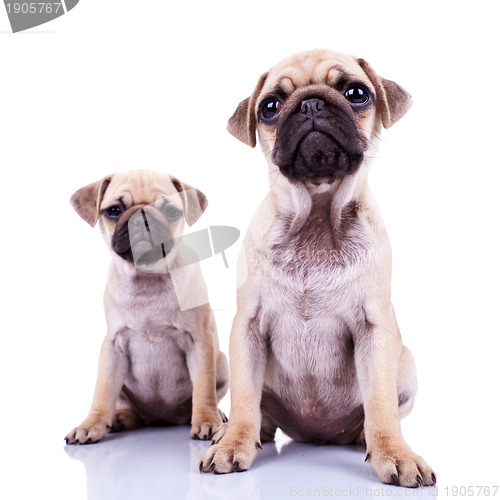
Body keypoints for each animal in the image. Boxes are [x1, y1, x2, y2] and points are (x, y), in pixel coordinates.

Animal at [65, 170, 229, 444]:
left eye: (171, 212)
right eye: (114, 210)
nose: (141, 218)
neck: (147, 278)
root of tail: (161, 419)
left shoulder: (200, 342)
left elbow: (203, 388)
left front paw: (207, 420)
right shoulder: (113, 347)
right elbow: (103, 391)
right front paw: (91, 424)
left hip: (223, 363)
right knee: (128, 408)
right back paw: (119, 418)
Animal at [201, 48, 436, 486]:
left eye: (356, 93)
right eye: (270, 107)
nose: (311, 103)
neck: (316, 219)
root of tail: (317, 436)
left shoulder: (375, 331)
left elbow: (381, 403)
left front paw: (394, 453)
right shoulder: (247, 328)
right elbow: (244, 397)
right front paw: (234, 442)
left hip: (407, 364)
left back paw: (366, 438)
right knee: (260, 414)